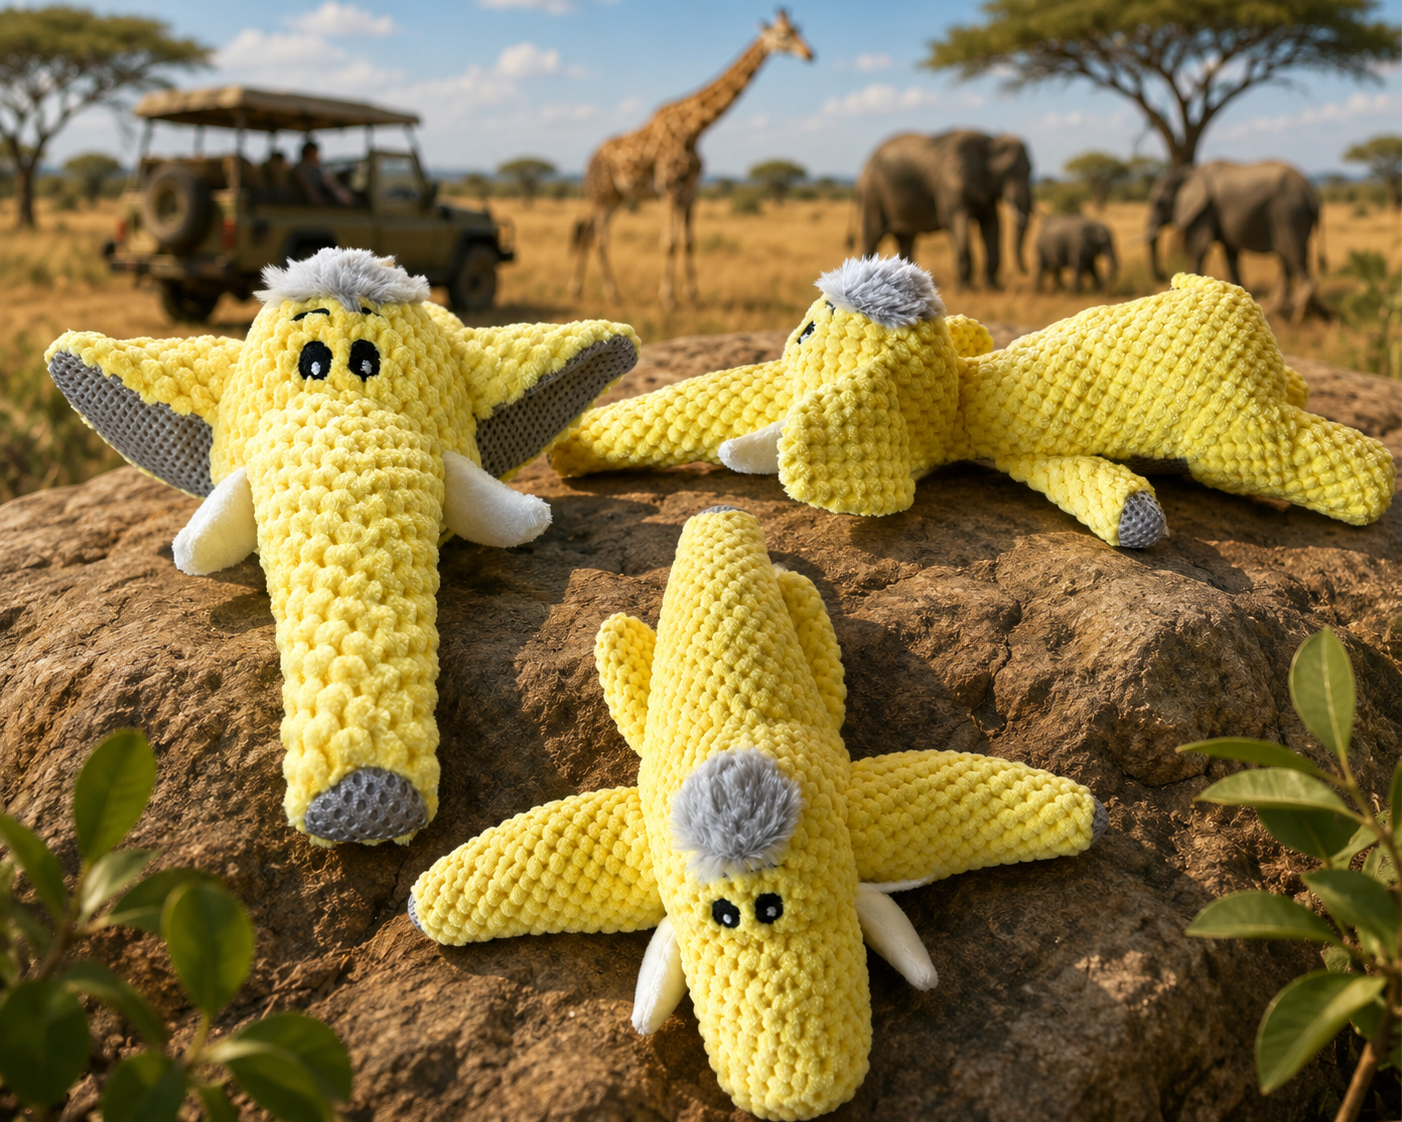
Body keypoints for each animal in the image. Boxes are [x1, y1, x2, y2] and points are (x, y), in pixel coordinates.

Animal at [855, 130, 1032, 289]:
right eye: (1006, 172)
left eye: (1030, 169)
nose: (1026, 270)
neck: (989, 141)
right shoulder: (949, 183)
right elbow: (958, 223)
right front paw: (964, 288)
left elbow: (992, 225)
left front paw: (993, 287)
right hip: (872, 196)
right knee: (872, 236)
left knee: (906, 239)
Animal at [1145, 161, 1324, 321]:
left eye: (1161, 203)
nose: (1162, 275)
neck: (1188, 171)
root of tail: (1310, 193)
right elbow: (1230, 254)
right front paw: (1239, 293)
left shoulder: (1206, 210)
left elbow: (1199, 247)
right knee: (1287, 259)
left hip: (1288, 213)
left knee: (1293, 256)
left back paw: (1298, 313)